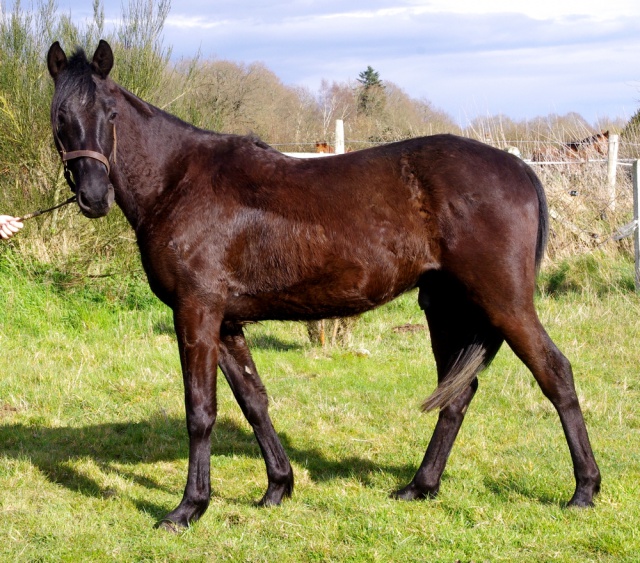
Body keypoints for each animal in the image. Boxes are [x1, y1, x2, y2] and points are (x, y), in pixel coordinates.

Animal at [45, 41, 600, 532]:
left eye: (110, 113)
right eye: (59, 117)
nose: (94, 196)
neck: (178, 182)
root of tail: (519, 167)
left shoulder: (196, 311)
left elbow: (200, 411)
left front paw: (188, 509)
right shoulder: (226, 321)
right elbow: (253, 400)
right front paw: (277, 487)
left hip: (504, 302)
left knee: (556, 375)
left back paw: (584, 490)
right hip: (446, 308)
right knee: (458, 394)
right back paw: (420, 486)